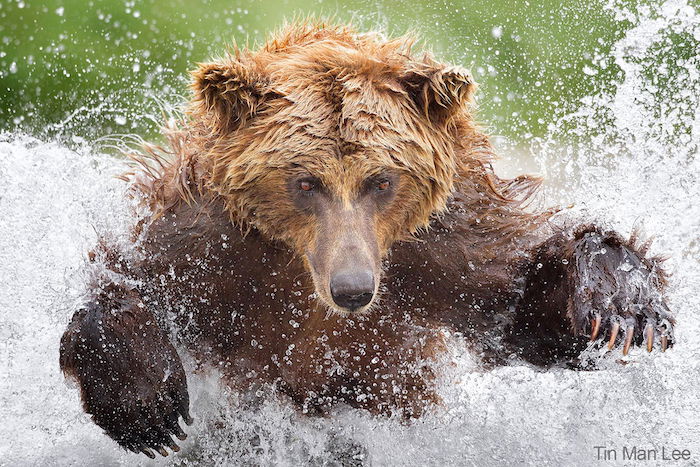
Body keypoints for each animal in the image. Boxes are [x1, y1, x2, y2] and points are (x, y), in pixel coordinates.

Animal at [58, 22, 672, 460]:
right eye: (305, 182)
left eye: (382, 181)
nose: (352, 289)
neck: (300, 265)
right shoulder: (208, 246)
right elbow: (124, 279)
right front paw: (149, 408)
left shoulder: (448, 254)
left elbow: (522, 316)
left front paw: (621, 307)